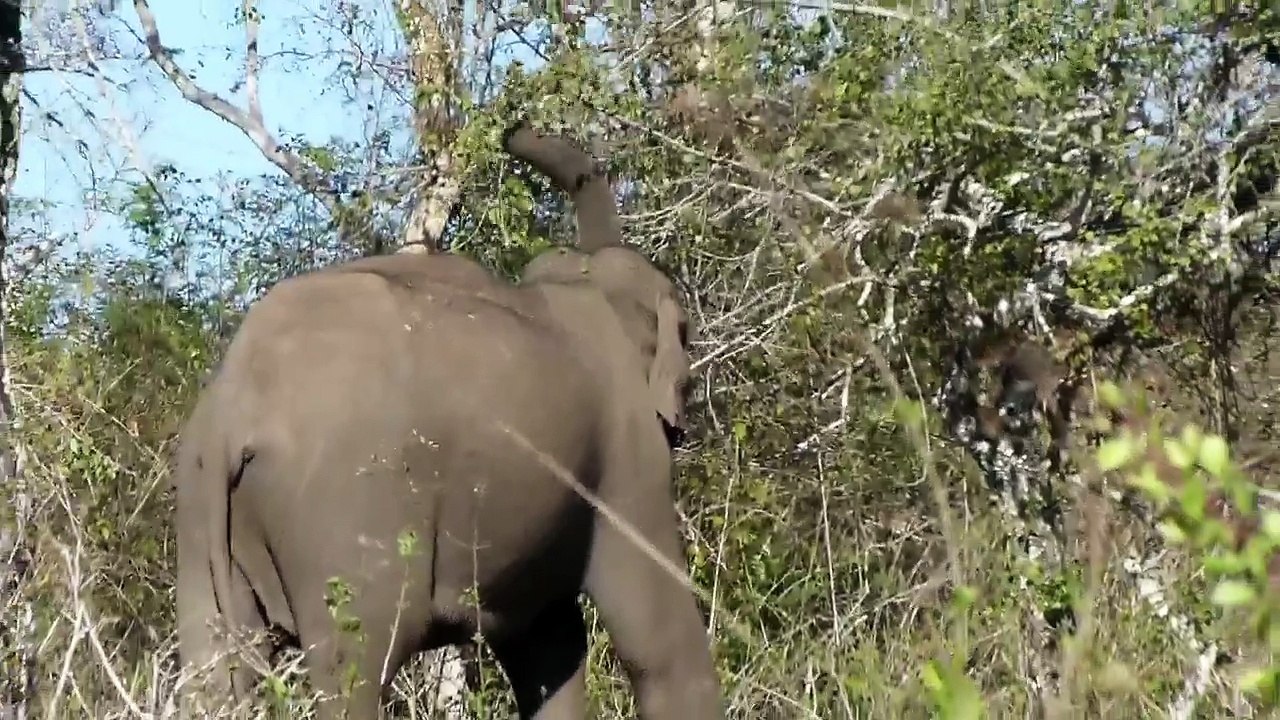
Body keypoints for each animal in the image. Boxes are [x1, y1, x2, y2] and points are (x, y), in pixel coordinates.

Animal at [171, 119, 725, 720]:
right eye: (687, 339)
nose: (511, 127)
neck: (581, 282)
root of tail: (235, 407)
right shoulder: (625, 449)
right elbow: (658, 644)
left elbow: (548, 648)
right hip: (345, 510)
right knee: (357, 665)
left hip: (198, 511)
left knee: (213, 671)